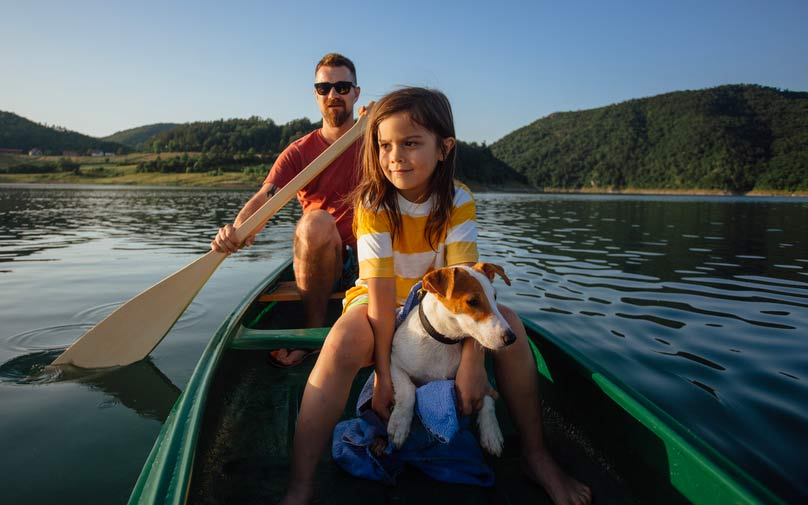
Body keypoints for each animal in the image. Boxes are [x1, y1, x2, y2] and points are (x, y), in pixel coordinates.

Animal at [386, 262, 516, 454]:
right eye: (472, 301)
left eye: (495, 296)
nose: (512, 338)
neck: (442, 342)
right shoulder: (395, 363)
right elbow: (407, 390)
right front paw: (400, 422)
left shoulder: (480, 379)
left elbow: (487, 397)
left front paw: (491, 431)